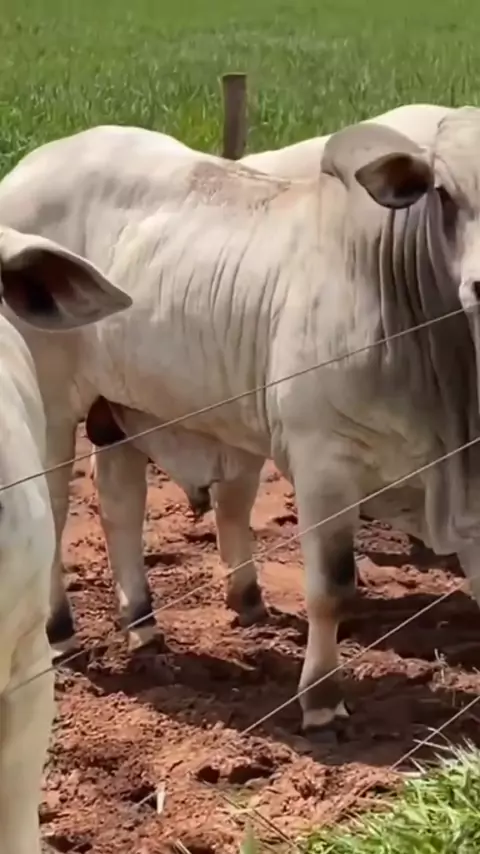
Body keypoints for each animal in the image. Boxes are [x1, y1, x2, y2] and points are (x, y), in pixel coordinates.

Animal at [1, 109, 480, 736]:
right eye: (443, 192)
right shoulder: (323, 462)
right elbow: (331, 588)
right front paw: (322, 699)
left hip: (122, 405)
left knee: (121, 506)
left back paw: (144, 622)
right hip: (55, 410)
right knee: (59, 513)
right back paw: (61, 629)